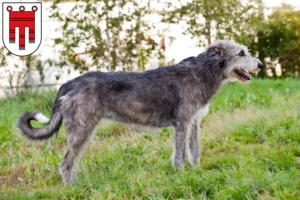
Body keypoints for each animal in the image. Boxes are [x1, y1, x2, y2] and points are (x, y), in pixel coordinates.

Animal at [18, 40, 262, 184]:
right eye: (241, 53)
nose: (260, 64)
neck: (203, 72)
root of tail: (69, 83)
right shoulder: (182, 123)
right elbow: (180, 154)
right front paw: (180, 175)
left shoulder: (194, 122)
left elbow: (194, 151)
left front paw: (196, 170)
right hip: (81, 129)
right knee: (66, 162)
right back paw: (71, 188)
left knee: (70, 161)